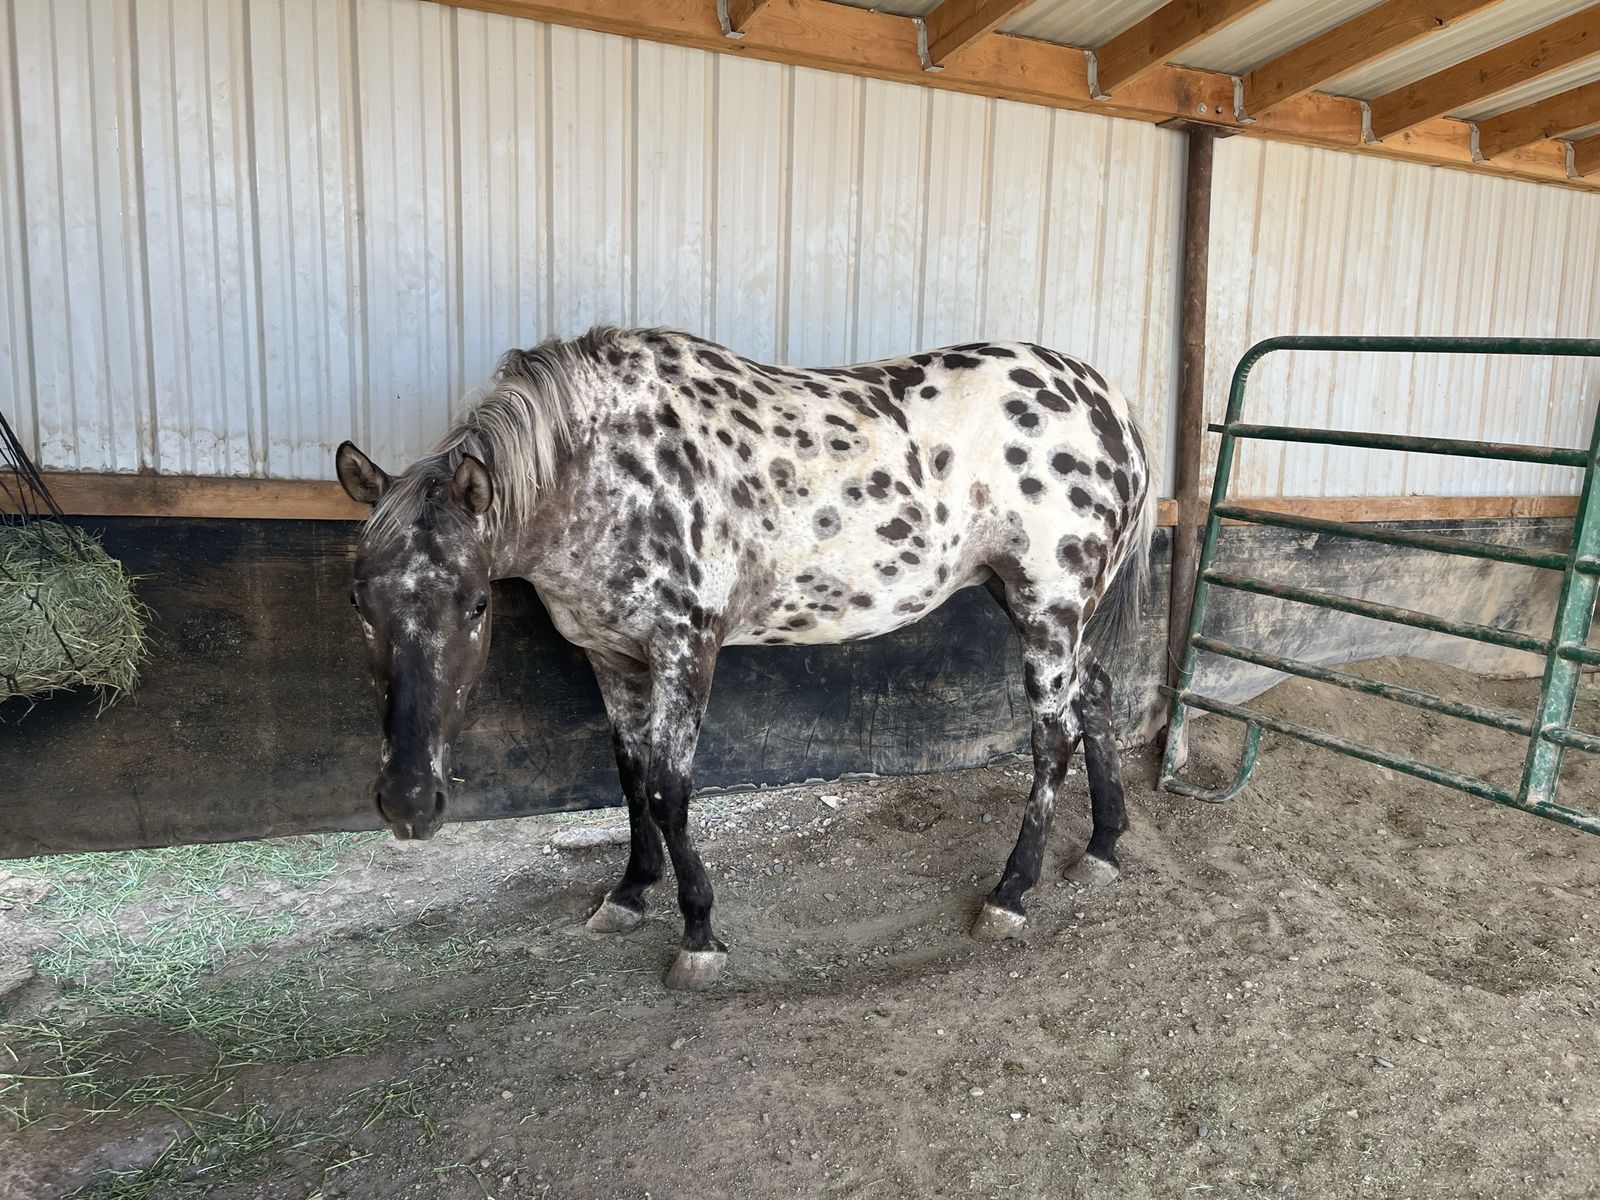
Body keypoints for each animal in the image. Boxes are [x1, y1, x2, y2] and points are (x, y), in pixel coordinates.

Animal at [334, 326, 1155, 990]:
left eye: (476, 604)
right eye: (359, 601)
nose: (408, 805)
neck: (603, 472)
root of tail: (1110, 406)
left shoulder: (684, 646)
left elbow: (668, 787)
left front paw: (698, 934)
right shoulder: (609, 654)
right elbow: (629, 775)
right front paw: (629, 893)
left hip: (1049, 605)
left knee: (1052, 741)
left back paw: (1010, 893)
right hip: (1035, 606)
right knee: (1096, 695)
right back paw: (1103, 847)